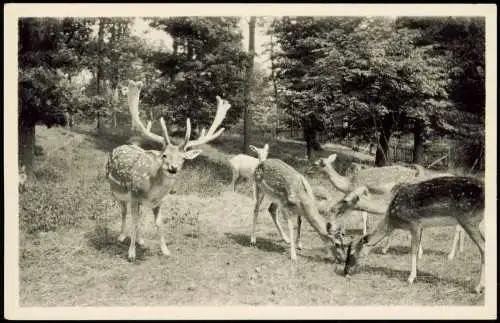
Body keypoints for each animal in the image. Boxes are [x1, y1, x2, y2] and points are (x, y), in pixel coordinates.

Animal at [106, 79, 231, 262]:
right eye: (164, 155)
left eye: (183, 158)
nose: (173, 168)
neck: (151, 189)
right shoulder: (135, 195)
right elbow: (134, 221)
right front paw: (131, 254)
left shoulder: (158, 201)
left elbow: (158, 223)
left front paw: (165, 250)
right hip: (115, 190)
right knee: (123, 210)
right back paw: (122, 236)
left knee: (137, 215)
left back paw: (141, 240)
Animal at [342, 177, 486, 296]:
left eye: (352, 253)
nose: (345, 272)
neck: (393, 220)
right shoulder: (420, 227)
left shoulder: (414, 223)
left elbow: (414, 250)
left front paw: (410, 278)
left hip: (469, 220)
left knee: (483, 247)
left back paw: (478, 287)